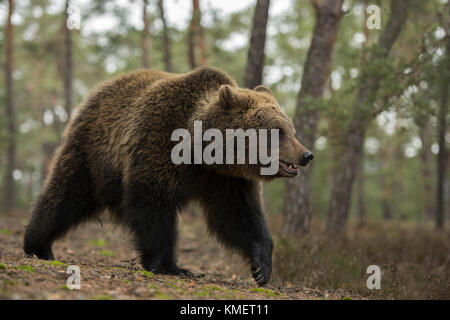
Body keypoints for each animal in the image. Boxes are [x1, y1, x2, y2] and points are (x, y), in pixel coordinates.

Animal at [23, 67, 312, 284]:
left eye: (291, 129)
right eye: (278, 131)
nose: (306, 154)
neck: (203, 151)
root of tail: (101, 88)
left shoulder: (226, 179)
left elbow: (238, 215)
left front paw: (261, 267)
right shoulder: (160, 144)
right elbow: (153, 206)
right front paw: (171, 266)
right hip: (93, 151)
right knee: (66, 194)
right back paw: (38, 245)